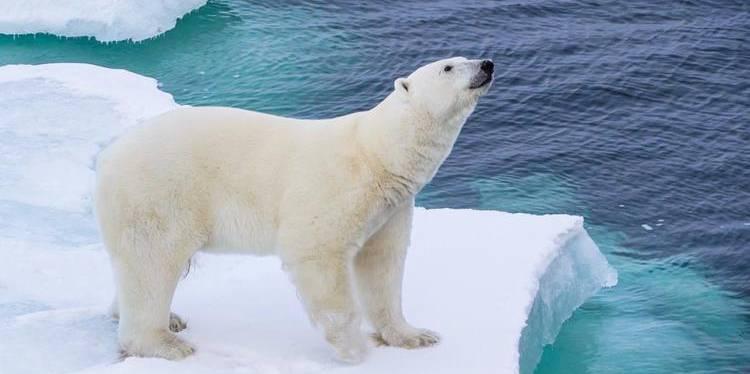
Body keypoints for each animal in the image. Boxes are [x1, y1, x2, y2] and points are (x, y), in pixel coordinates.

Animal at [95, 57, 494, 364]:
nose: (487, 64)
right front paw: (353, 350)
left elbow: (382, 265)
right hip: (159, 193)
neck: (376, 152)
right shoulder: (337, 186)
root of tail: (108, 157)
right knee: (153, 261)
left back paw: (161, 318)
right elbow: (319, 255)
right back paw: (165, 342)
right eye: (448, 66)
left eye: (465, 57)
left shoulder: (390, 208)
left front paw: (414, 335)